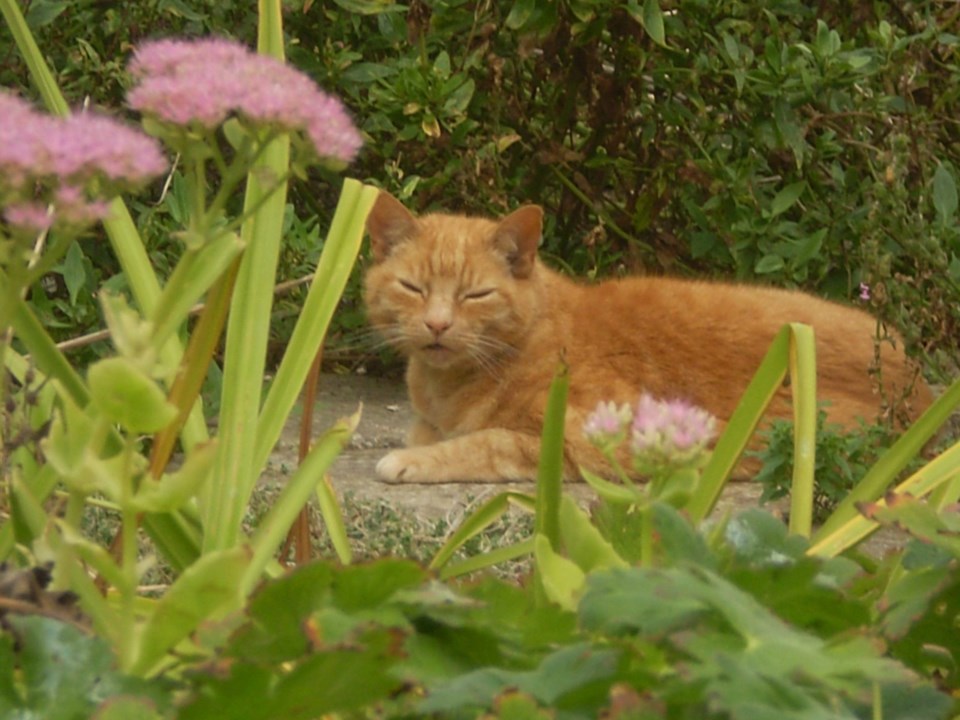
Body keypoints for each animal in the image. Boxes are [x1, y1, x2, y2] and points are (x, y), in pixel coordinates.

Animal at [360, 191, 928, 484]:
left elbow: (489, 443)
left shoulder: (601, 436)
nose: (437, 324)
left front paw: (411, 461)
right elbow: (430, 431)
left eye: (475, 295)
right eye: (413, 288)